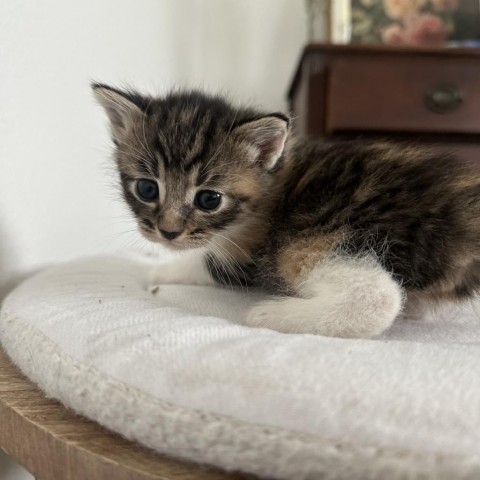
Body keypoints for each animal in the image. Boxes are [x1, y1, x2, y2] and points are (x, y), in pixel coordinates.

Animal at [93, 83, 480, 338]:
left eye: (209, 199)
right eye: (147, 189)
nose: (168, 232)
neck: (271, 180)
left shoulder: (249, 249)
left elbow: (207, 261)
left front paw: (160, 270)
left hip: (318, 235)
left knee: (380, 296)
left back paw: (271, 314)